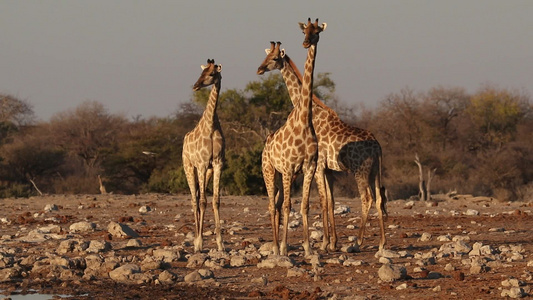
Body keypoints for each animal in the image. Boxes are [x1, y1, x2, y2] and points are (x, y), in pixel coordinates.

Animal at [256, 40, 386, 251]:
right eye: (265, 56)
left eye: (274, 58)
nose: (260, 69)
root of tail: (377, 147)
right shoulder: (328, 169)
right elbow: (330, 201)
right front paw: (332, 242)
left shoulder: (318, 167)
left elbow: (324, 201)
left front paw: (325, 243)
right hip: (375, 170)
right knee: (380, 198)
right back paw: (382, 242)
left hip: (360, 170)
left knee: (367, 198)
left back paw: (358, 240)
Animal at [262, 17, 324, 256]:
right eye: (304, 31)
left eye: (316, 31)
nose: (306, 43)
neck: (304, 119)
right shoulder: (289, 168)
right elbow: (289, 206)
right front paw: (285, 247)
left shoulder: (309, 167)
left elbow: (304, 206)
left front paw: (308, 248)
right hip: (270, 171)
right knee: (273, 205)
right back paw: (276, 247)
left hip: (281, 175)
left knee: (278, 204)